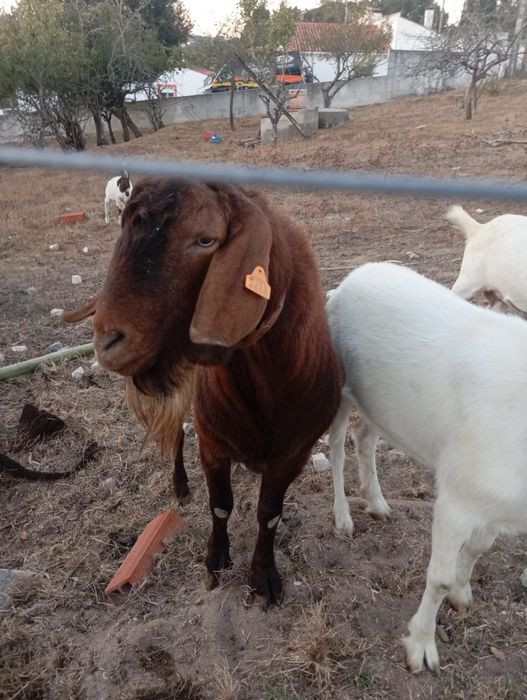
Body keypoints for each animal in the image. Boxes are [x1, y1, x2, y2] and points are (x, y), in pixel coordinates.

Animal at [90, 178, 342, 606]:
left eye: (205, 239)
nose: (108, 340)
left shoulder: (294, 454)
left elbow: (269, 513)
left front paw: (263, 577)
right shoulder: (212, 445)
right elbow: (221, 506)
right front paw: (216, 561)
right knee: (176, 437)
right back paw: (180, 487)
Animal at [327, 262, 527, 673]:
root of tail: (347, 282)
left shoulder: (493, 500)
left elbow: (478, 549)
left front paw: (463, 596)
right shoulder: (457, 500)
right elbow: (439, 578)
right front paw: (420, 646)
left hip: (380, 405)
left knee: (364, 436)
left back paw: (377, 503)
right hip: (337, 385)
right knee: (336, 447)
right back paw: (343, 518)